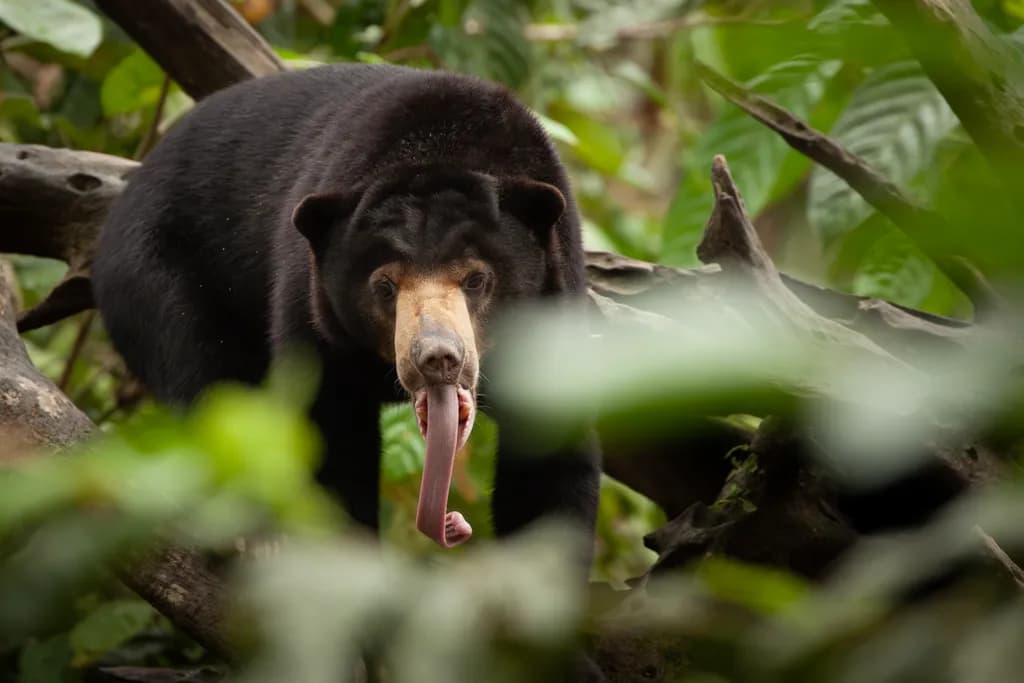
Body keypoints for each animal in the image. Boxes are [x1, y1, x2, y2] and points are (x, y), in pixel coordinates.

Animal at [92, 64, 601, 573]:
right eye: (385, 285)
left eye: (477, 279)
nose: (437, 358)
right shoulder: (313, 314)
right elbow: (328, 429)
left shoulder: (557, 310)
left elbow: (551, 456)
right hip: (155, 270)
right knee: (208, 379)